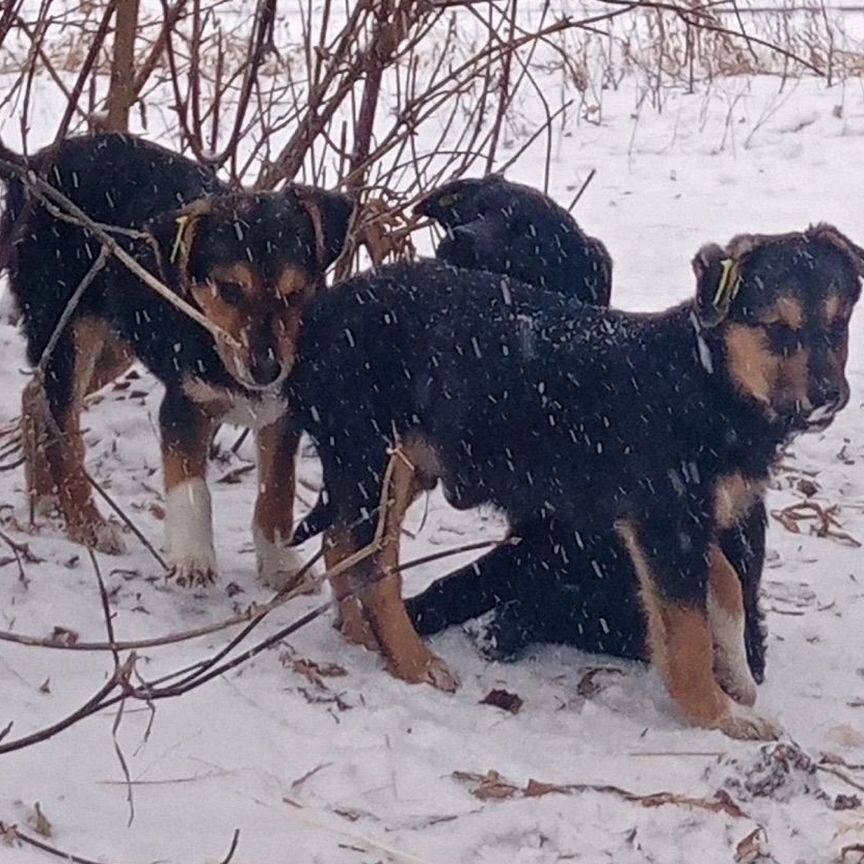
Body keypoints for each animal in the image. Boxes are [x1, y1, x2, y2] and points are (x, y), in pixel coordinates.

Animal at [0, 132, 352, 584]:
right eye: (229, 290)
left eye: (296, 292)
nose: (266, 369)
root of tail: (35, 162)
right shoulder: (184, 405)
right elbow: (190, 485)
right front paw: (193, 557)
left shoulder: (282, 413)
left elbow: (277, 491)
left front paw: (278, 564)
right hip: (69, 332)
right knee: (64, 430)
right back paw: (87, 523)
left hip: (117, 341)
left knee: (34, 395)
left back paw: (42, 499)